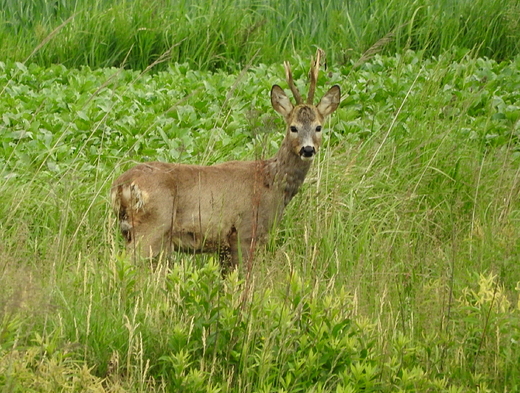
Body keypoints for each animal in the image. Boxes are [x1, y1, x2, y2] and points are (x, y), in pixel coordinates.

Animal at [111, 49, 340, 270]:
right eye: (293, 127)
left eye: (318, 127)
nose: (308, 149)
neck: (271, 182)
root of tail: (122, 185)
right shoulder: (245, 232)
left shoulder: (223, 245)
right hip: (153, 226)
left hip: (129, 229)